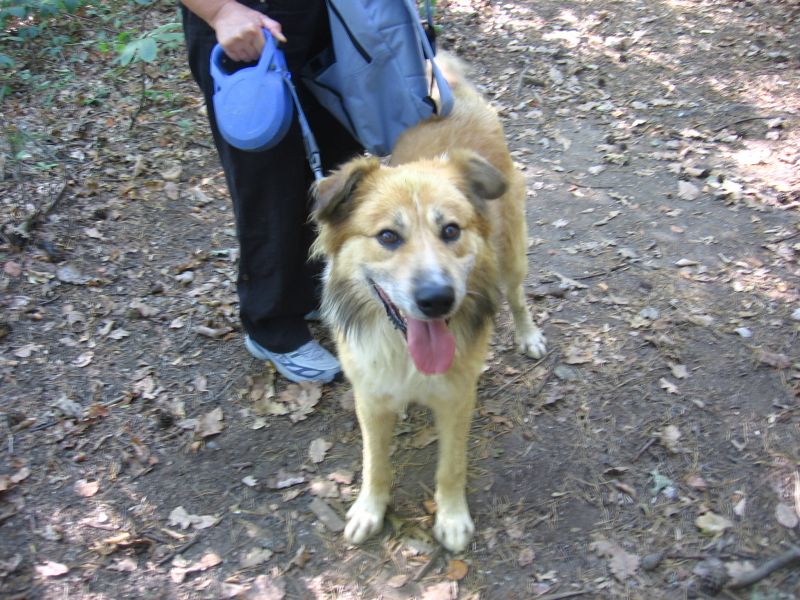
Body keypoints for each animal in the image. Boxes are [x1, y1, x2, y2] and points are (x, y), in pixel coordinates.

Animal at [310, 54, 546, 553]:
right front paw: (370, 509)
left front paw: (452, 518)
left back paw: (529, 334)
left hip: (512, 255)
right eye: (387, 237)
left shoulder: (457, 399)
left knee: (517, 295)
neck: (405, 355)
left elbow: (450, 466)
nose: (438, 300)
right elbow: (374, 462)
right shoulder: (369, 397)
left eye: (451, 230)